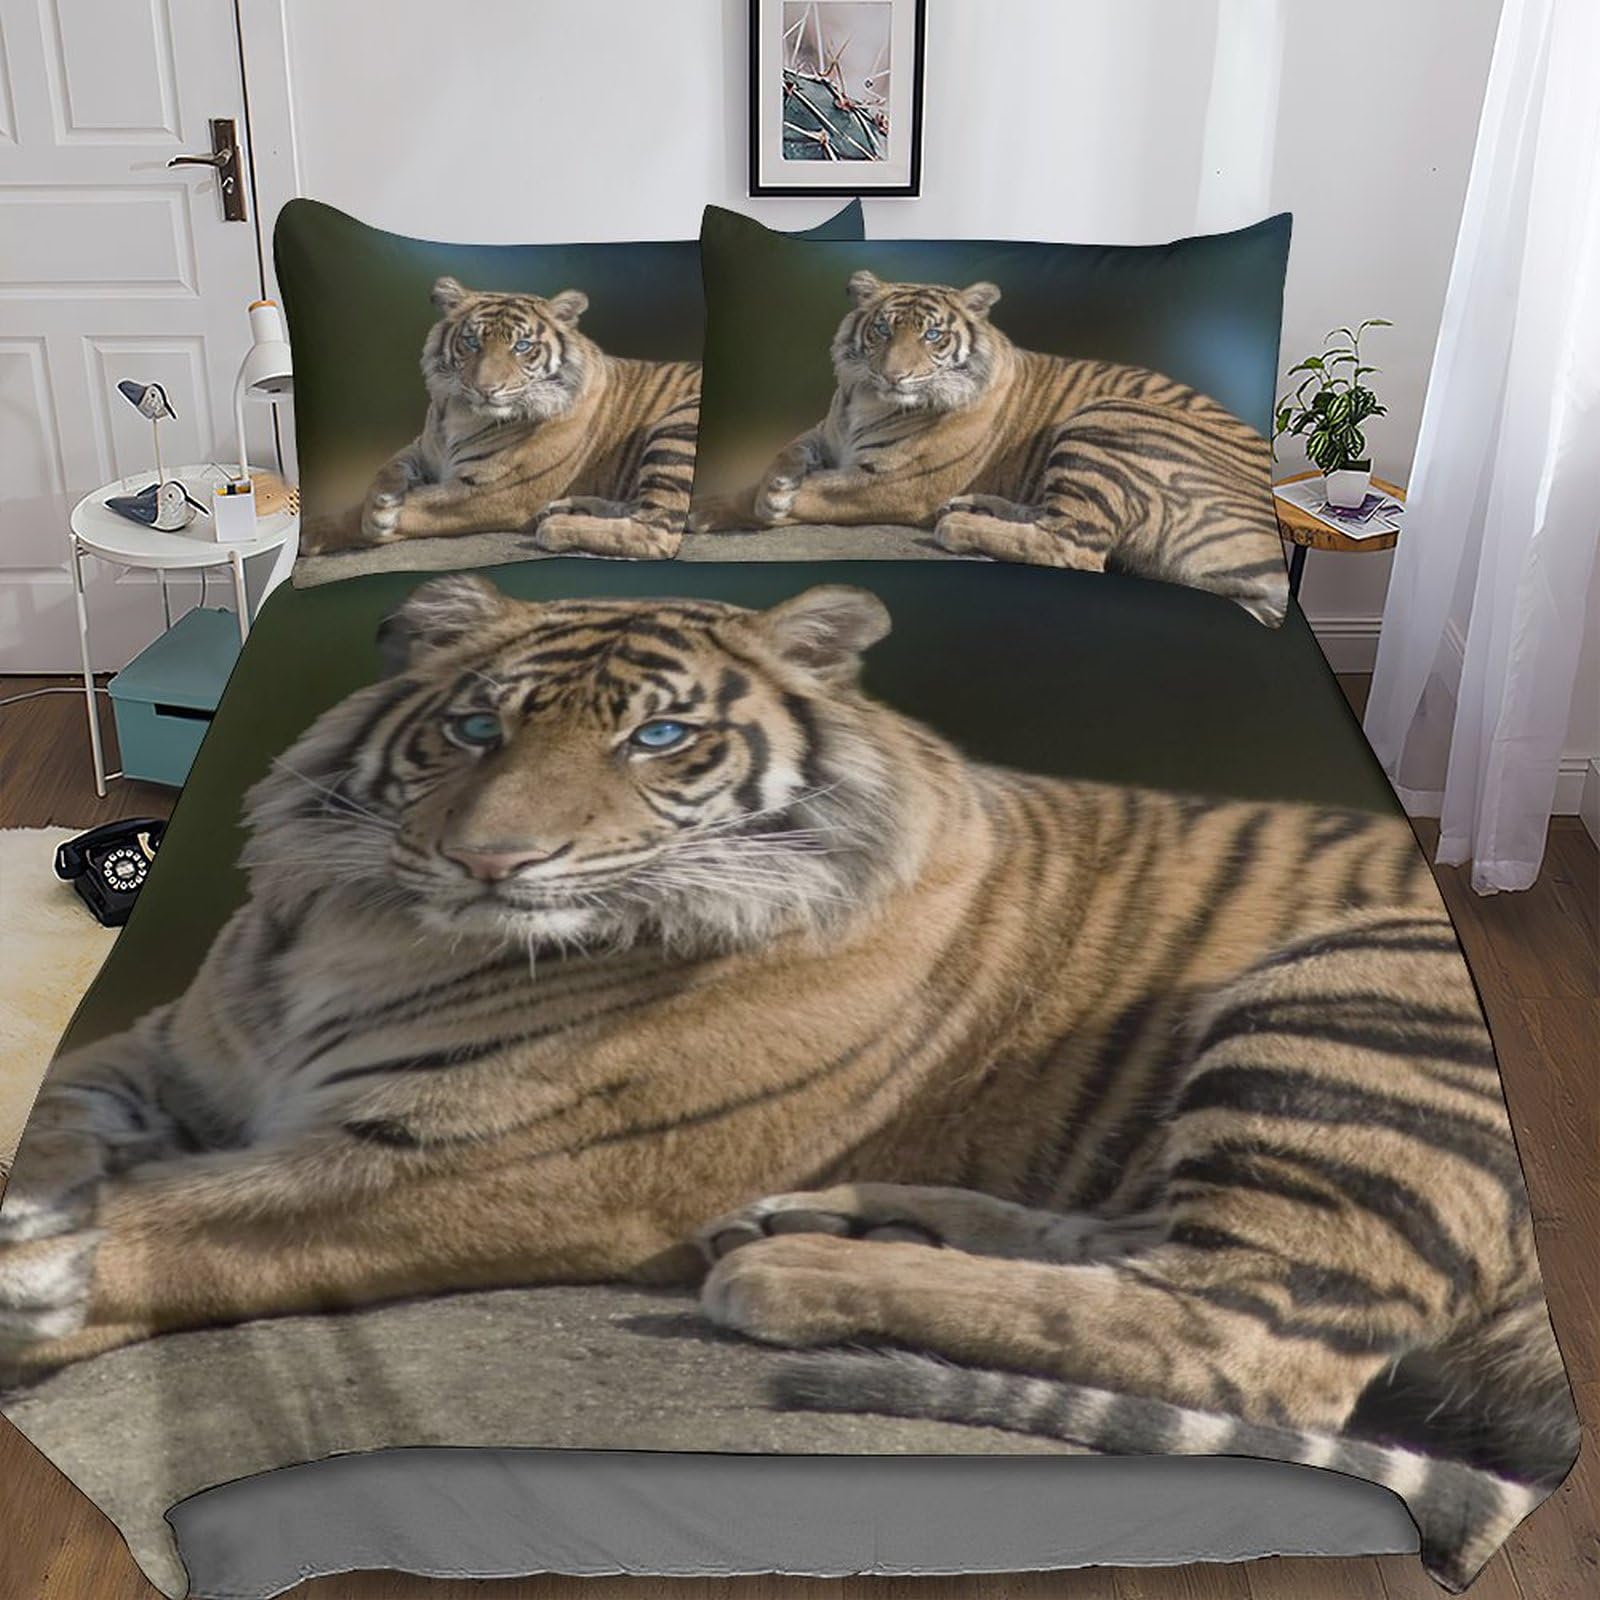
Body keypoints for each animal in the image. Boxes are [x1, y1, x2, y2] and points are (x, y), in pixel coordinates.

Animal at [0, 577, 1571, 1590]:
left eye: (657, 737)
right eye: (474, 729)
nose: (489, 861)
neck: (370, 927)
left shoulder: (471, 1162)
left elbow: (174, 1222)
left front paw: (41, 1288)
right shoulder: (169, 1054)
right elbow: (55, 1130)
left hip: (1336, 997)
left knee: (1247, 1341)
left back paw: (787, 1273)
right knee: (1133, 1252)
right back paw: (832, 1220)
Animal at [300, 276, 699, 560]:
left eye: (521, 347)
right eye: (472, 342)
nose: (485, 389)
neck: (459, 415)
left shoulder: (489, 491)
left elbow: (409, 506)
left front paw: (344, 525)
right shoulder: (422, 449)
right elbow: (386, 469)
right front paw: (379, 503)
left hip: (676, 425)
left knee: (660, 530)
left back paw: (555, 527)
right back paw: (567, 508)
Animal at [689, 271, 1290, 625]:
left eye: (932, 336)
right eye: (882, 330)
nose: (894, 376)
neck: (865, 400)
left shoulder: (891, 483)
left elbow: (800, 494)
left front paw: (743, 505)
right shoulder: (824, 434)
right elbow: (784, 455)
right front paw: (762, 489)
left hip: (1108, 416)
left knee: (1078, 549)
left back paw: (959, 525)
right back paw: (973, 508)